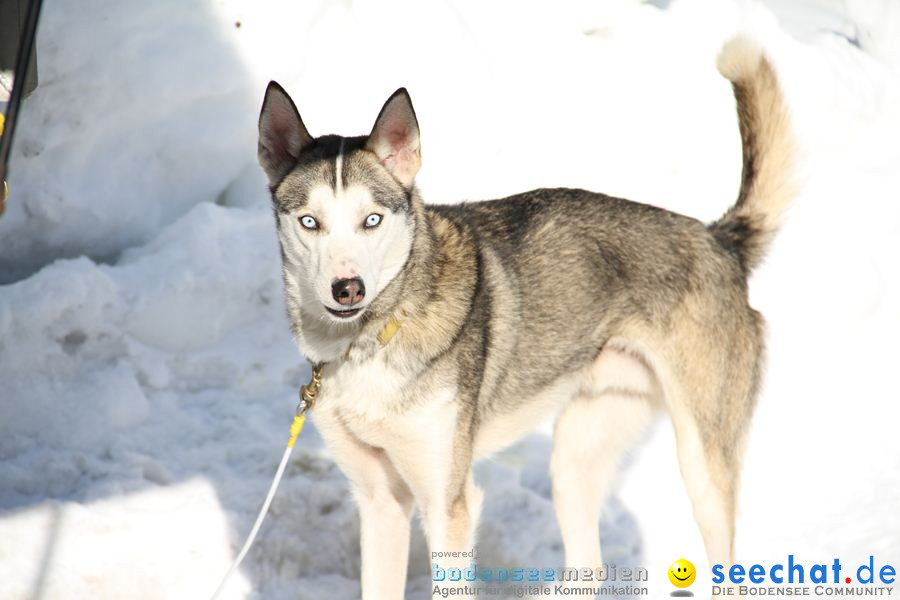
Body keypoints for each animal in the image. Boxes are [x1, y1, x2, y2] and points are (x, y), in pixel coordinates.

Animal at [256, 35, 792, 596]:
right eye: (309, 222)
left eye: (372, 220)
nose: (347, 288)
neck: (373, 338)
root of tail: (718, 240)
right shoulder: (381, 502)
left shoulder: (447, 506)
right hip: (575, 461)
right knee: (589, 563)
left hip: (702, 467)